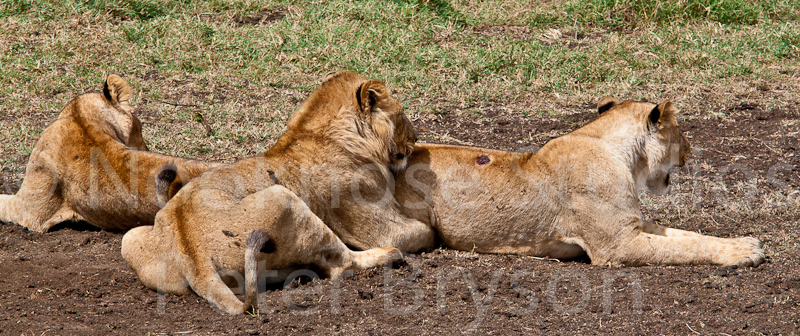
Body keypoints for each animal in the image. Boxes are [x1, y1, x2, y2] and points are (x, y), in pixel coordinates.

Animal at [122, 71, 432, 316]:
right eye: (402, 114)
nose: (416, 138)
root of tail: (194, 255)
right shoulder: (378, 225)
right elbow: (421, 232)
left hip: (131, 237)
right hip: (284, 198)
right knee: (342, 266)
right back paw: (388, 256)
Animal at [390, 97, 764, 268]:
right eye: (680, 132)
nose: (689, 150)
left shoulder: (634, 225)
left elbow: (690, 237)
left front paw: (743, 242)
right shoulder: (617, 245)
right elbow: (684, 249)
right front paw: (744, 253)